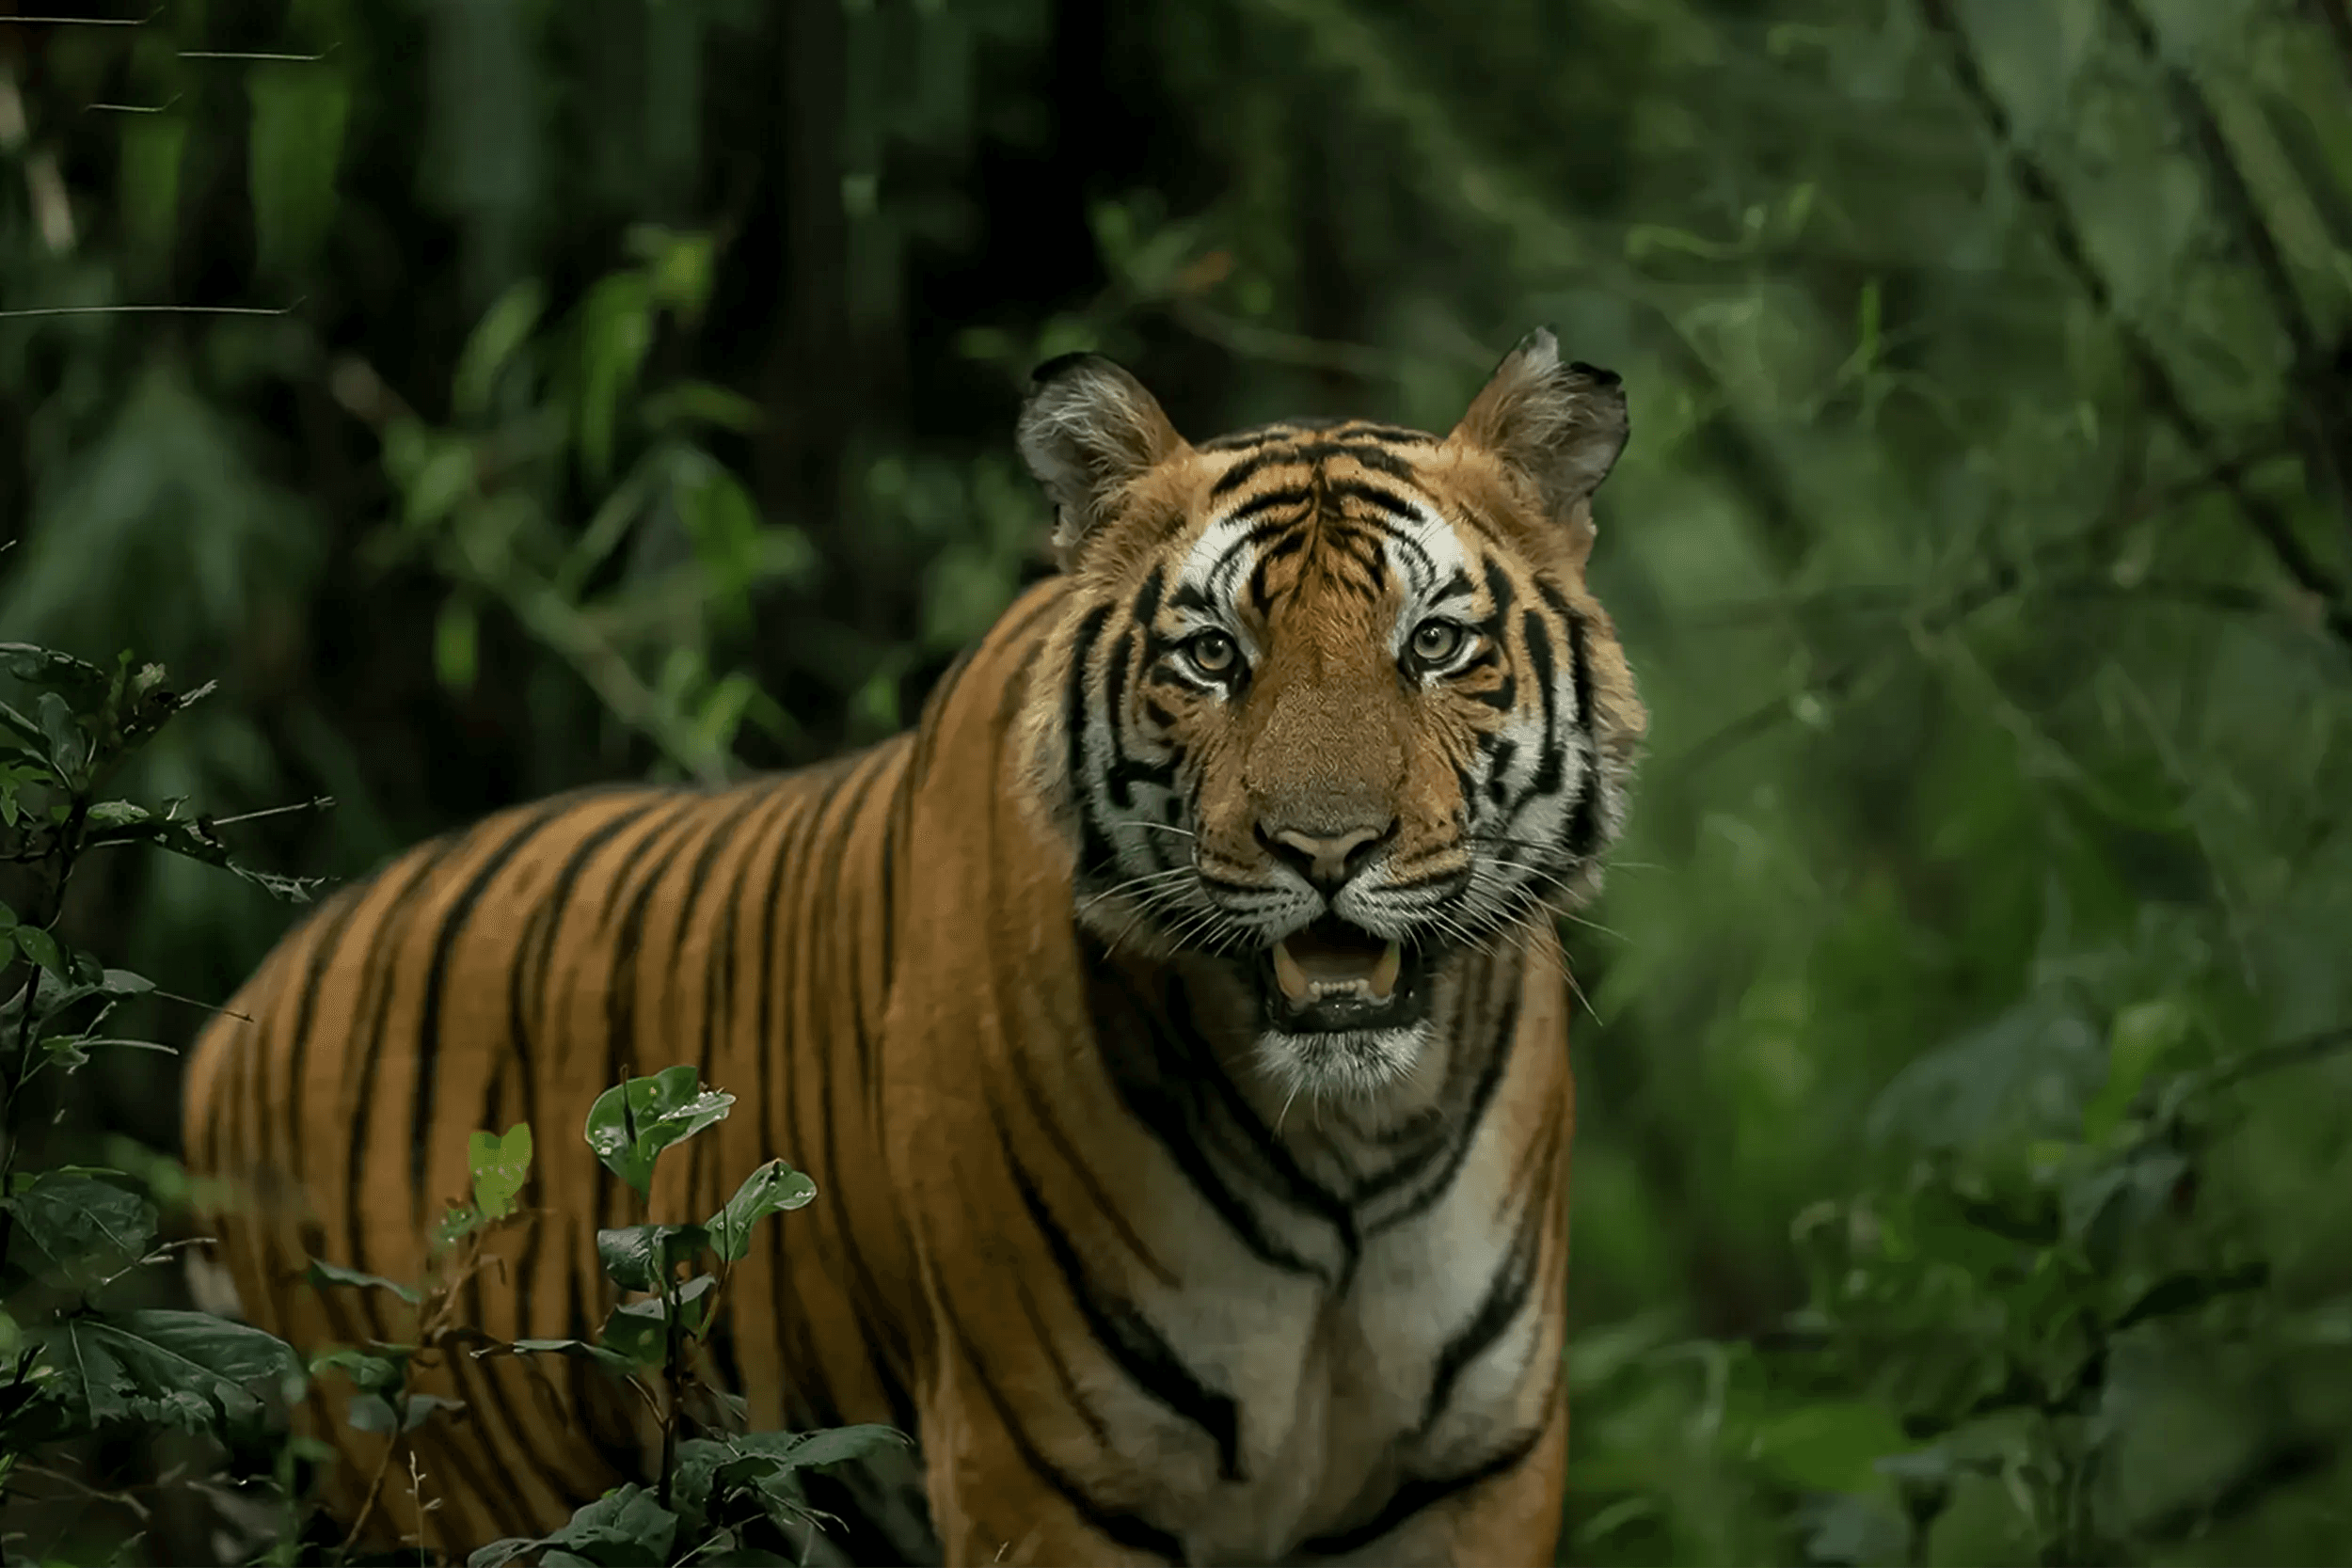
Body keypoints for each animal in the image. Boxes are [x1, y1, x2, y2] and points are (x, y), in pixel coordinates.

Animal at [180, 326, 1645, 1567]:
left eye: (1435, 643)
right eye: (1214, 655)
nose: (1325, 849)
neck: (1348, 1141)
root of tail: (239, 1014)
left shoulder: (1477, 1469)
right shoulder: (1043, 1470)